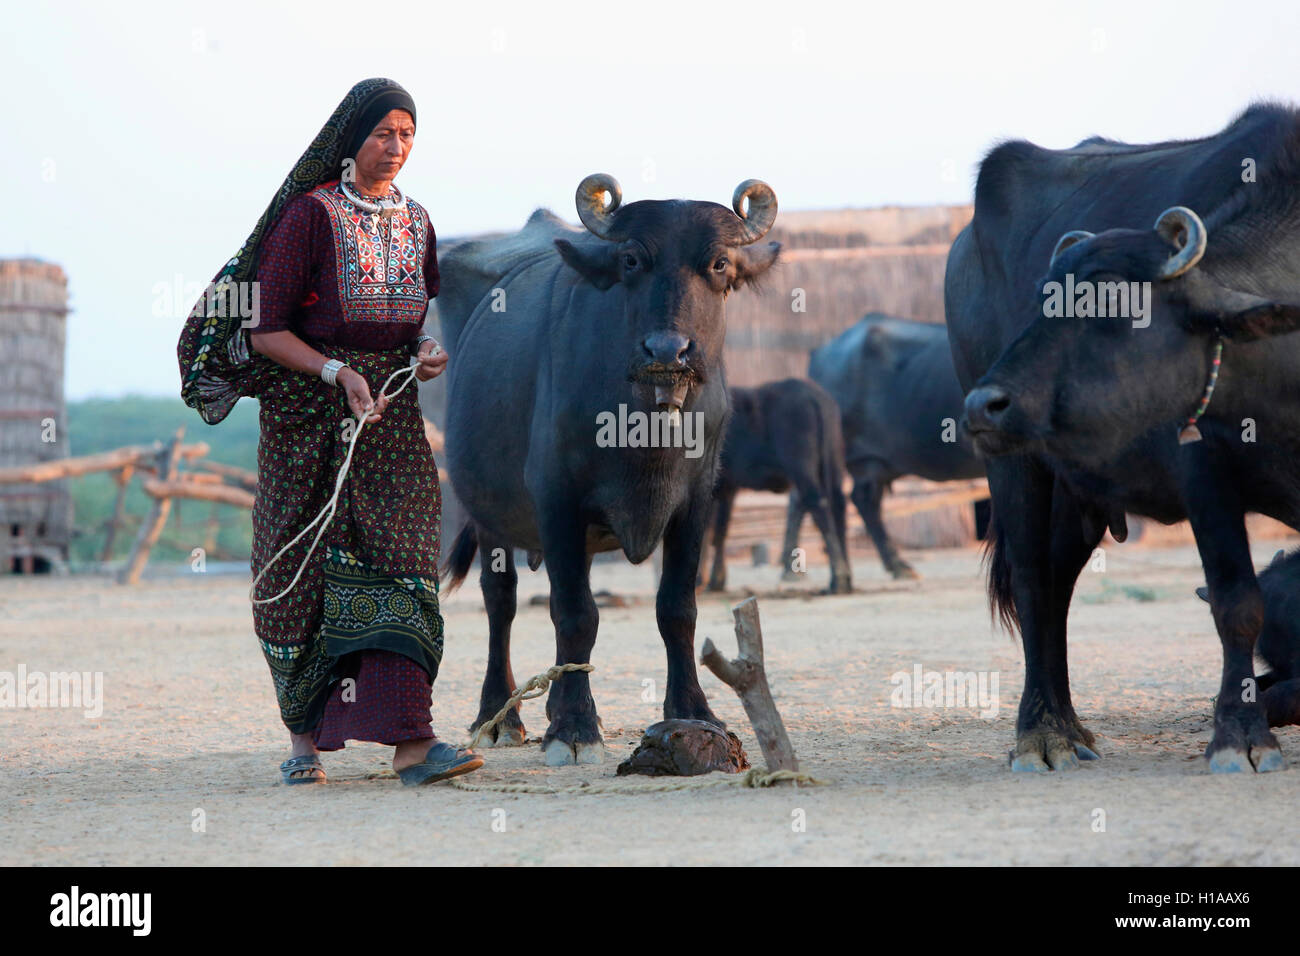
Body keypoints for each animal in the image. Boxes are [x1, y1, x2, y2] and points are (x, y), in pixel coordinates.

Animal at [436, 175, 780, 764]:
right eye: (631, 259)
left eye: (719, 263)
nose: (667, 350)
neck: (646, 431)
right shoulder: (556, 501)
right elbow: (575, 613)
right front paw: (573, 728)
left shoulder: (697, 501)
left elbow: (677, 610)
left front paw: (693, 710)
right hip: (487, 516)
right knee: (500, 602)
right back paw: (497, 716)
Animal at [712, 377, 852, 595]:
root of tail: (814, 396)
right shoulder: (728, 488)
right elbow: (719, 530)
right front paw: (715, 580)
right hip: (833, 463)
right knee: (837, 505)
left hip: (802, 470)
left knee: (818, 506)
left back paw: (838, 579)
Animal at [946, 104, 1300, 775]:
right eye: (1045, 302)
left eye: (1114, 303)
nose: (983, 403)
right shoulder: (1202, 467)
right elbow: (1237, 604)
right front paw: (1240, 738)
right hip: (1017, 464)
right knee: (1033, 580)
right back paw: (1041, 736)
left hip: (1079, 491)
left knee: (1058, 583)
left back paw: (1069, 724)